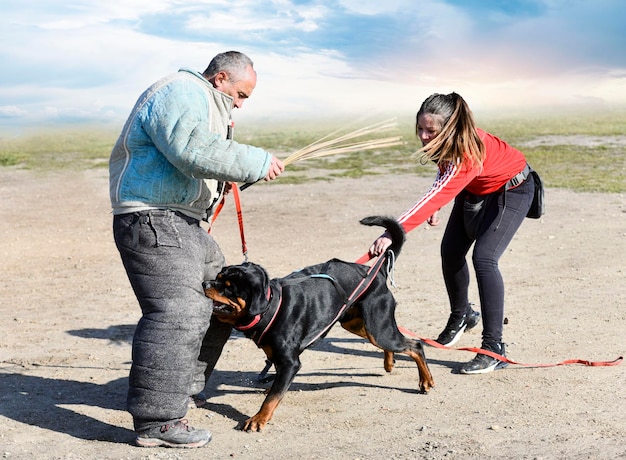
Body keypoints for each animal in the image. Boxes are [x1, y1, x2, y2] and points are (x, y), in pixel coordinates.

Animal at [202, 216, 432, 432]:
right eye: (218, 276)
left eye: (228, 287)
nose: (205, 283)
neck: (269, 306)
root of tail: (378, 273)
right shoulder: (279, 358)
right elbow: (276, 385)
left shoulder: (290, 362)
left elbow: (272, 397)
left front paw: (259, 418)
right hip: (359, 325)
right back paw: (389, 362)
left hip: (378, 328)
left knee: (415, 345)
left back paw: (426, 381)